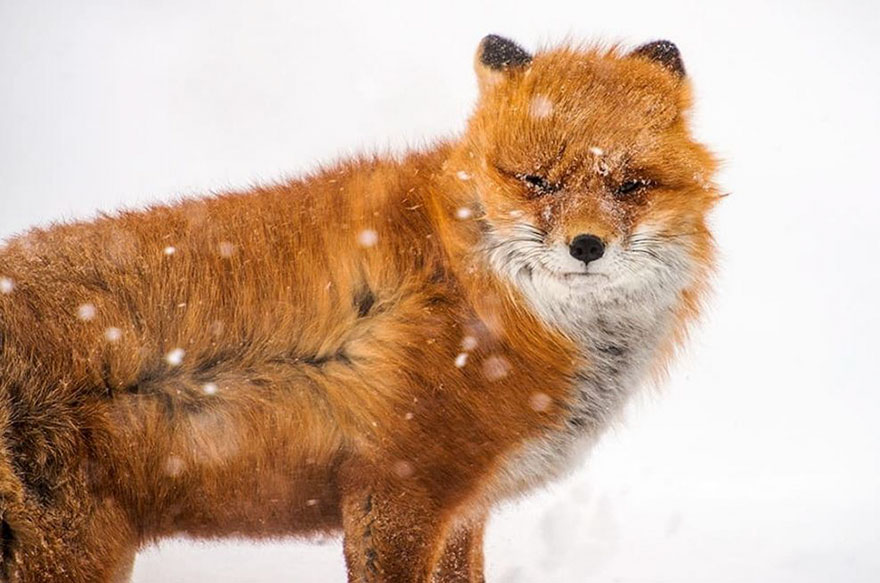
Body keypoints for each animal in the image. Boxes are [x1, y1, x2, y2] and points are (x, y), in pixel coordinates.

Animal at [0, 35, 719, 582]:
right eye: (536, 180)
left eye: (631, 185)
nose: (587, 246)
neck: (473, 291)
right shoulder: (397, 485)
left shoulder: (464, 504)